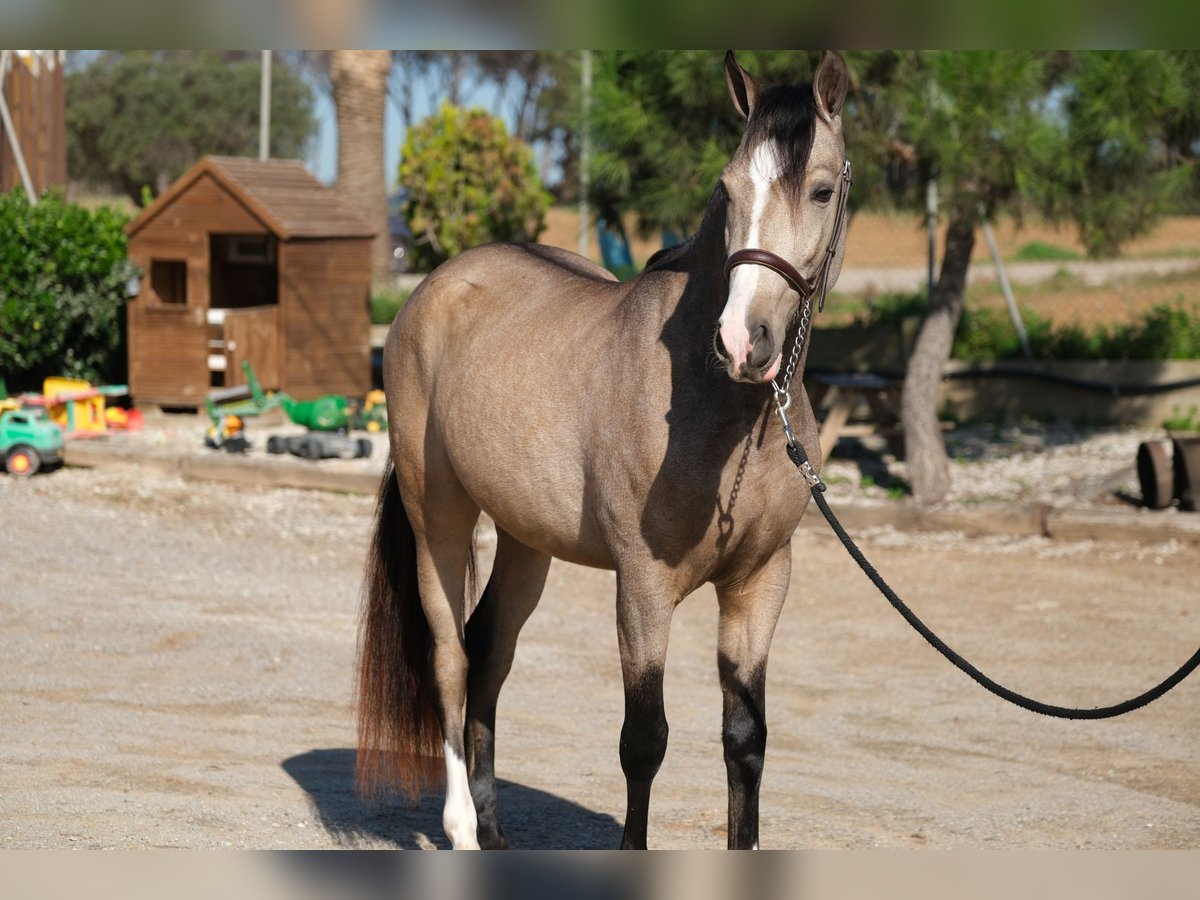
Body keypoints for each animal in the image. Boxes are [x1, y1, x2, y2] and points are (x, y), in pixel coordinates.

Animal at [355, 51, 854, 854]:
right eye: (728, 187)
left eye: (822, 188)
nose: (742, 341)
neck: (726, 416)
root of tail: (430, 290)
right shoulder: (642, 587)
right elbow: (644, 740)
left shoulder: (760, 583)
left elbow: (745, 739)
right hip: (440, 520)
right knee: (450, 658)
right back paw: (462, 827)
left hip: (528, 540)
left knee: (488, 649)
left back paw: (492, 826)